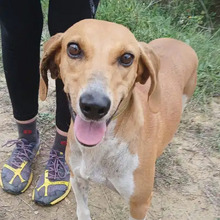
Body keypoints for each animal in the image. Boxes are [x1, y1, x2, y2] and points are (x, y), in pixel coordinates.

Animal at [39, 19, 198, 220]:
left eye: (127, 58)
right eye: (73, 48)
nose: (94, 106)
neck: (102, 147)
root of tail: (180, 43)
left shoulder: (139, 204)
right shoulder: (77, 178)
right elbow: (83, 210)